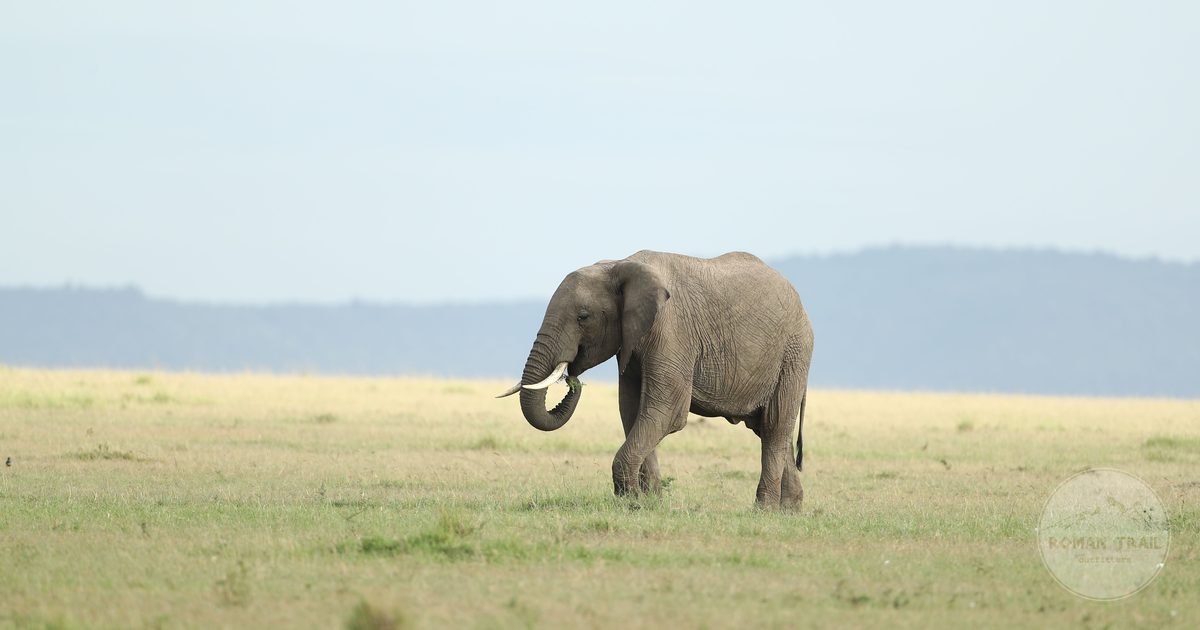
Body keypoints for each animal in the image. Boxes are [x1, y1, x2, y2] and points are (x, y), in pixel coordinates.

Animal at [497, 250, 814, 509]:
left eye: (583, 317)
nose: (572, 377)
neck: (618, 265)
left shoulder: (672, 332)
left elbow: (666, 411)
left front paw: (631, 502)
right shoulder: (631, 343)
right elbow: (632, 411)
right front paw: (649, 503)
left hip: (793, 353)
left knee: (775, 425)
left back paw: (764, 510)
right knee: (767, 429)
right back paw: (790, 510)